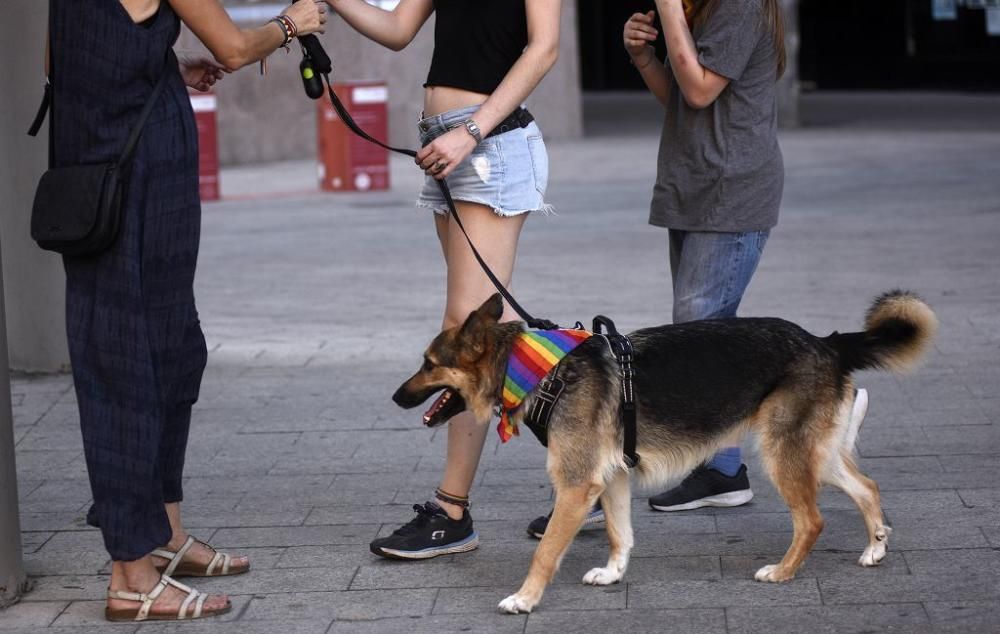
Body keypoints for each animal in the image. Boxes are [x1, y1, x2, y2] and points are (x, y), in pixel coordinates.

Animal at [392, 288, 936, 608]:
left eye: (429, 363)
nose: (396, 397)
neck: (543, 372)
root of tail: (826, 342)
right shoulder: (611, 478)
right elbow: (620, 535)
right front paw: (613, 575)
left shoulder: (576, 486)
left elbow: (545, 553)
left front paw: (525, 599)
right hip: (814, 454)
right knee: (866, 487)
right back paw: (874, 548)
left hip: (784, 454)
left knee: (813, 520)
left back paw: (783, 572)